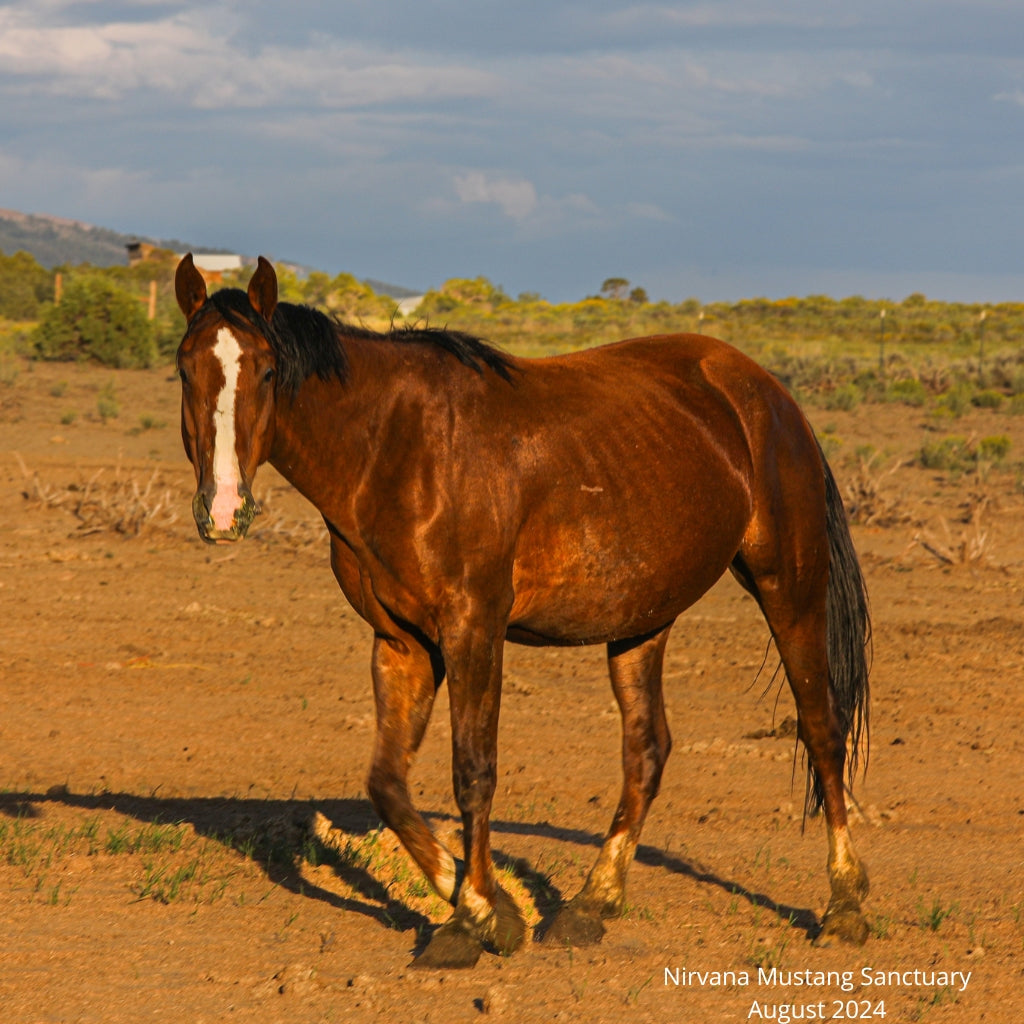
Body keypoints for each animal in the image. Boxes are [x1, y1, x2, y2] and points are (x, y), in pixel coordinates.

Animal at [174, 251, 872, 962]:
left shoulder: (472, 630)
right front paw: (489, 902)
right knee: (647, 749)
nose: (224, 511)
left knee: (821, 729)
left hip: (789, 587)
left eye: (267, 370)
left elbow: (473, 772)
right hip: (642, 620)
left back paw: (844, 904)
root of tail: (767, 394)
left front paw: (473, 916)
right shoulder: (401, 640)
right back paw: (593, 902)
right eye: (184, 368)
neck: (396, 448)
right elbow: (388, 785)